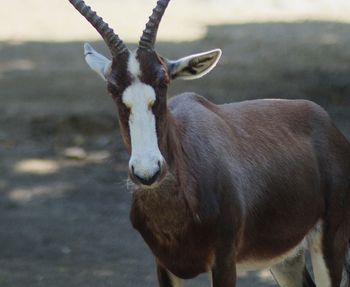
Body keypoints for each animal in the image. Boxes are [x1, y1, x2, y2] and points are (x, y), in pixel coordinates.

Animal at [68, 1, 350, 286]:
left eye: (164, 81)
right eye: (112, 88)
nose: (147, 172)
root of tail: (327, 123)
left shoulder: (224, 260)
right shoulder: (164, 264)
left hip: (330, 241)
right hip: (285, 259)